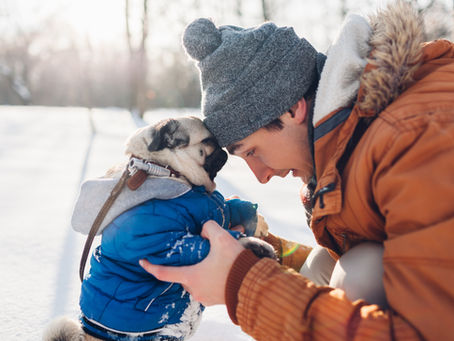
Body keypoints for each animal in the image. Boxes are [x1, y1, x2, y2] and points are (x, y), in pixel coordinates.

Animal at [44, 115, 274, 340]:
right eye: (209, 141)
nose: (223, 148)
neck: (164, 169)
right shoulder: (162, 237)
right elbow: (197, 245)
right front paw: (253, 245)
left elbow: (226, 208)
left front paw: (254, 218)